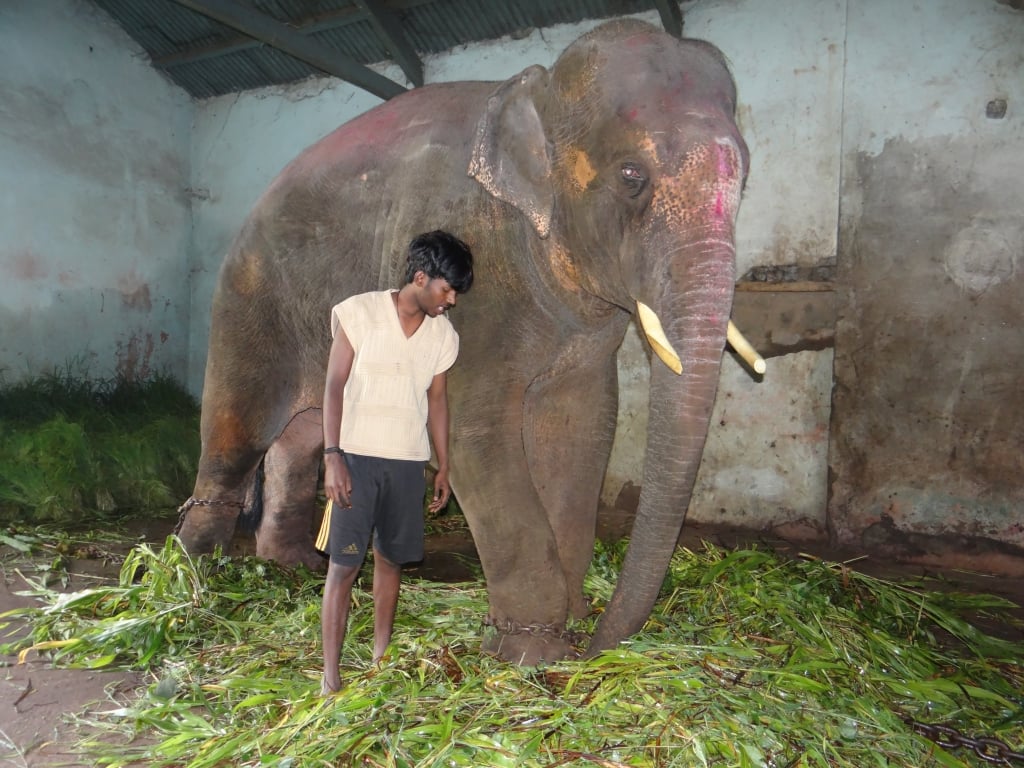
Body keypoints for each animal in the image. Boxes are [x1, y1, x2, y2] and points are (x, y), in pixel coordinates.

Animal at [178, 19, 753, 667]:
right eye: (633, 176)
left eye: (745, 179)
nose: (598, 644)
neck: (535, 93)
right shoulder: (472, 270)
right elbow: (475, 428)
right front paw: (533, 651)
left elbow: (580, 426)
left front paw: (567, 620)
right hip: (250, 297)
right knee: (236, 432)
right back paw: (197, 571)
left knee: (302, 436)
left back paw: (291, 568)